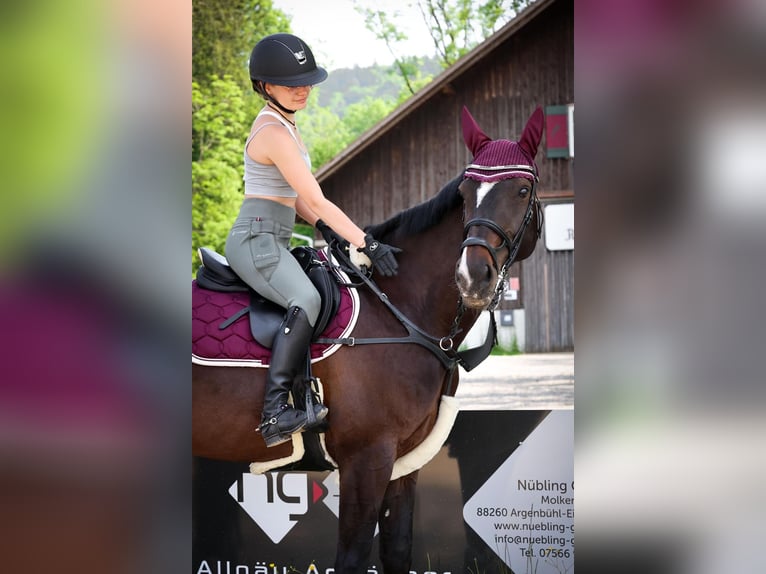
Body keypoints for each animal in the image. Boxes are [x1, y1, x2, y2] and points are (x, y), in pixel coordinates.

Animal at [195, 107, 548, 574]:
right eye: (465, 193)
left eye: (523, 190)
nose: (472, 276)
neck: (398, 308)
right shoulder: (366, 460)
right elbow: (352, 558)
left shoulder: (402, 462)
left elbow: (397, 551)